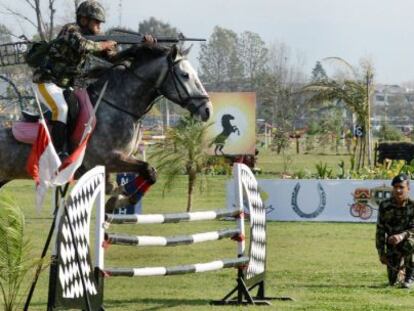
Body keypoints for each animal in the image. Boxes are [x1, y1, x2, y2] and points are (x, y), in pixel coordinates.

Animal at [0, 44, 213, 189]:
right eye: (185, 75)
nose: (207, 109)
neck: (118, 104)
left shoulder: (122, 159)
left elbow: (138, 176)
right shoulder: (108, 159)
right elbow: (147, 170)